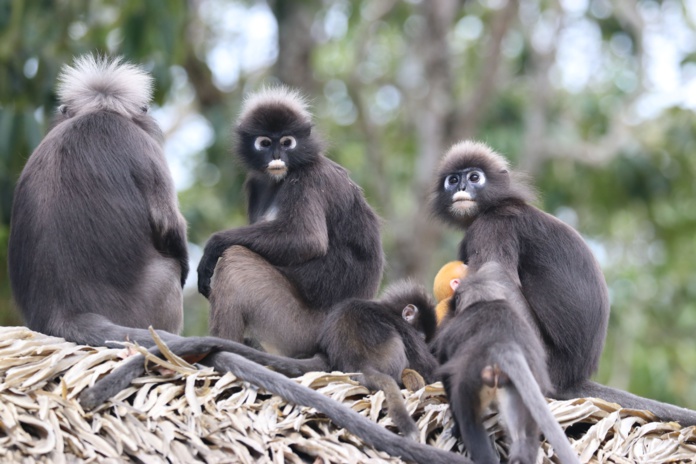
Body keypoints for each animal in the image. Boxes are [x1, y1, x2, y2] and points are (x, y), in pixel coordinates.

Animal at [8, 54, 188, 346]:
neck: (98, 113)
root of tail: (62, 313)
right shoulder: (144, 148)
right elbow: (167, 224)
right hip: (147, 300)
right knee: (170, 270)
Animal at [196, 86, 384, 356]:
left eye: (287, 142)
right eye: (265, 143)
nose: (277, 155)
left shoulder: (310, 178)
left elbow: (307, 240)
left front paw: (213, 245)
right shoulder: (256, 184)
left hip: (298, 328)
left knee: (235, 259)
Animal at [430, 140, 696, 426]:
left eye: (474, 177)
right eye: (453, 179)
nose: (461, 188)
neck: (494, 206)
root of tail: (572, 376)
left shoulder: (492, 227)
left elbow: (493, 278)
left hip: (545, 360)